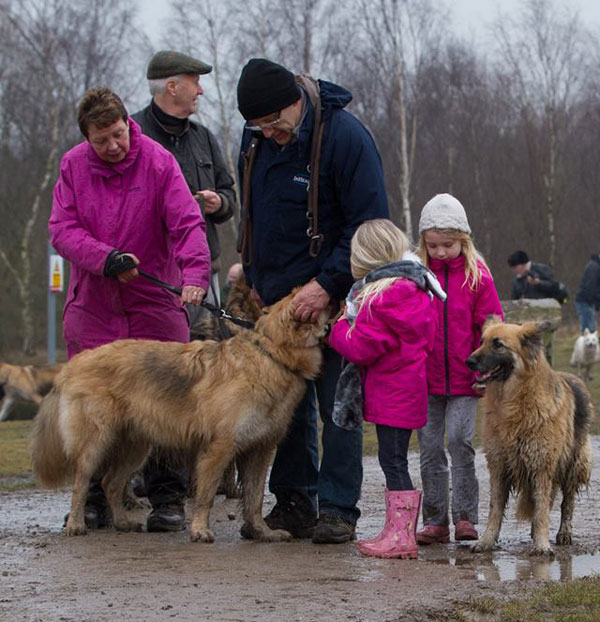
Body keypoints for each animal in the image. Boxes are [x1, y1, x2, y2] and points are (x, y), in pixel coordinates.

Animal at [29, 290, 326, 544]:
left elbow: (253, 499)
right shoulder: (219, 449)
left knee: (110, 483)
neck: (271, 354)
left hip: (135, 448)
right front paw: (200, 530)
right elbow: (206, 495)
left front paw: (261, 532)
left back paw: (123, 522)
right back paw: (77, 524)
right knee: (82, 483)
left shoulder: (260, 450)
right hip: (96, 444)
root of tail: (74, 363)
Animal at [466, 320, 592, 560]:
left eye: (498, 344)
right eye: (481, 341)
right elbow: (495, 509)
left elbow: (542, 510)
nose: (468, 362)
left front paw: (542, 545)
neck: (514, 403)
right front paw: (486, 541)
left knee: (567, 503)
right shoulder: (499, 466)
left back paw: (563, 533)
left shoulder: (541, 466)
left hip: (572, 465)